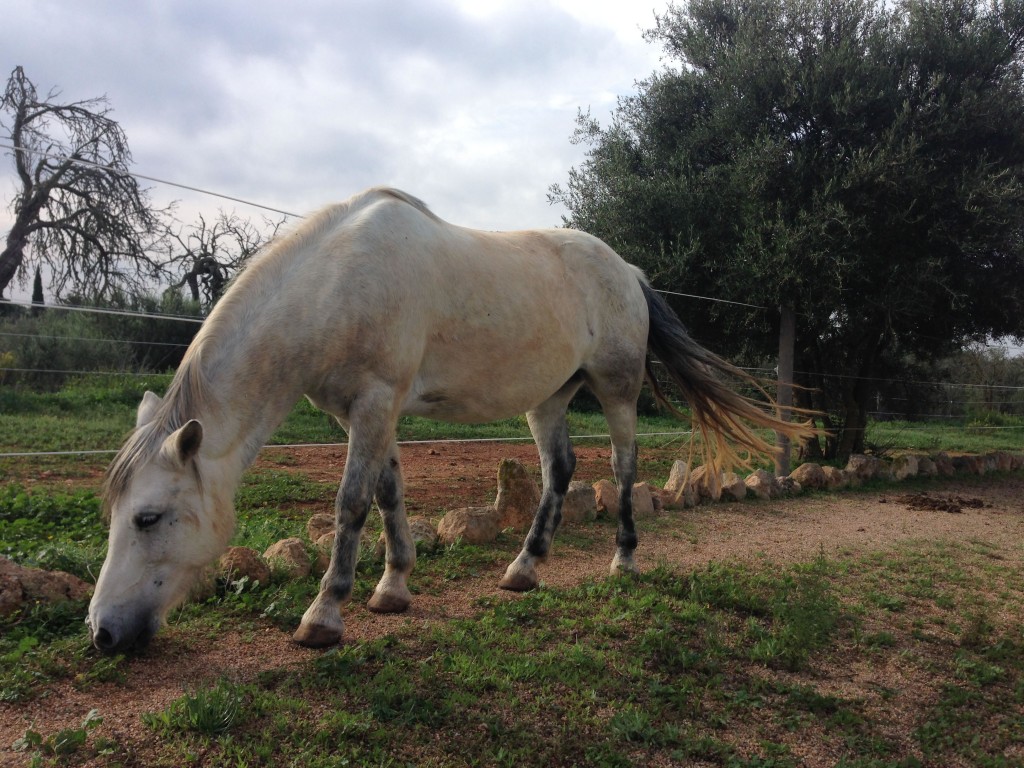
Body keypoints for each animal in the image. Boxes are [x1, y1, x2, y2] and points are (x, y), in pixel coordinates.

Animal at [88, 186, 806, 651]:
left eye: (148, 517)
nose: (102, 633)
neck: (335, 284)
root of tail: (626, 269)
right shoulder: (366, 413)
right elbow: (388, 494)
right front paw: (392, 588)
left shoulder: (375, 403)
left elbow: (352, 503)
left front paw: (324, 615)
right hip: (549, 397)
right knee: (559, 471)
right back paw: (523, 570)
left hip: (617, 390)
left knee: (623, 467)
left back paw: (623, 561)